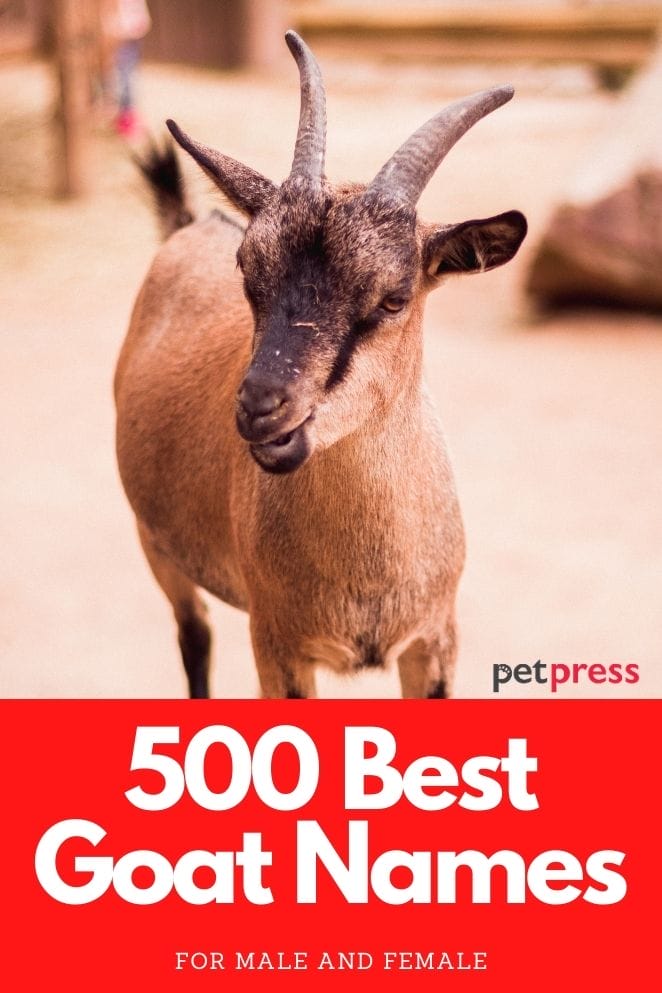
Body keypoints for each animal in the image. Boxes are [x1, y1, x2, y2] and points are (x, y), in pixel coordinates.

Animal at [114, 32, 527, 699]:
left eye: (394, 298)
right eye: (247, 273)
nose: (261, 408)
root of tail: (186, 225)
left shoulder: (435, 639)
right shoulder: (277, 645)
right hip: (156, 545)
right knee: (194, 635)